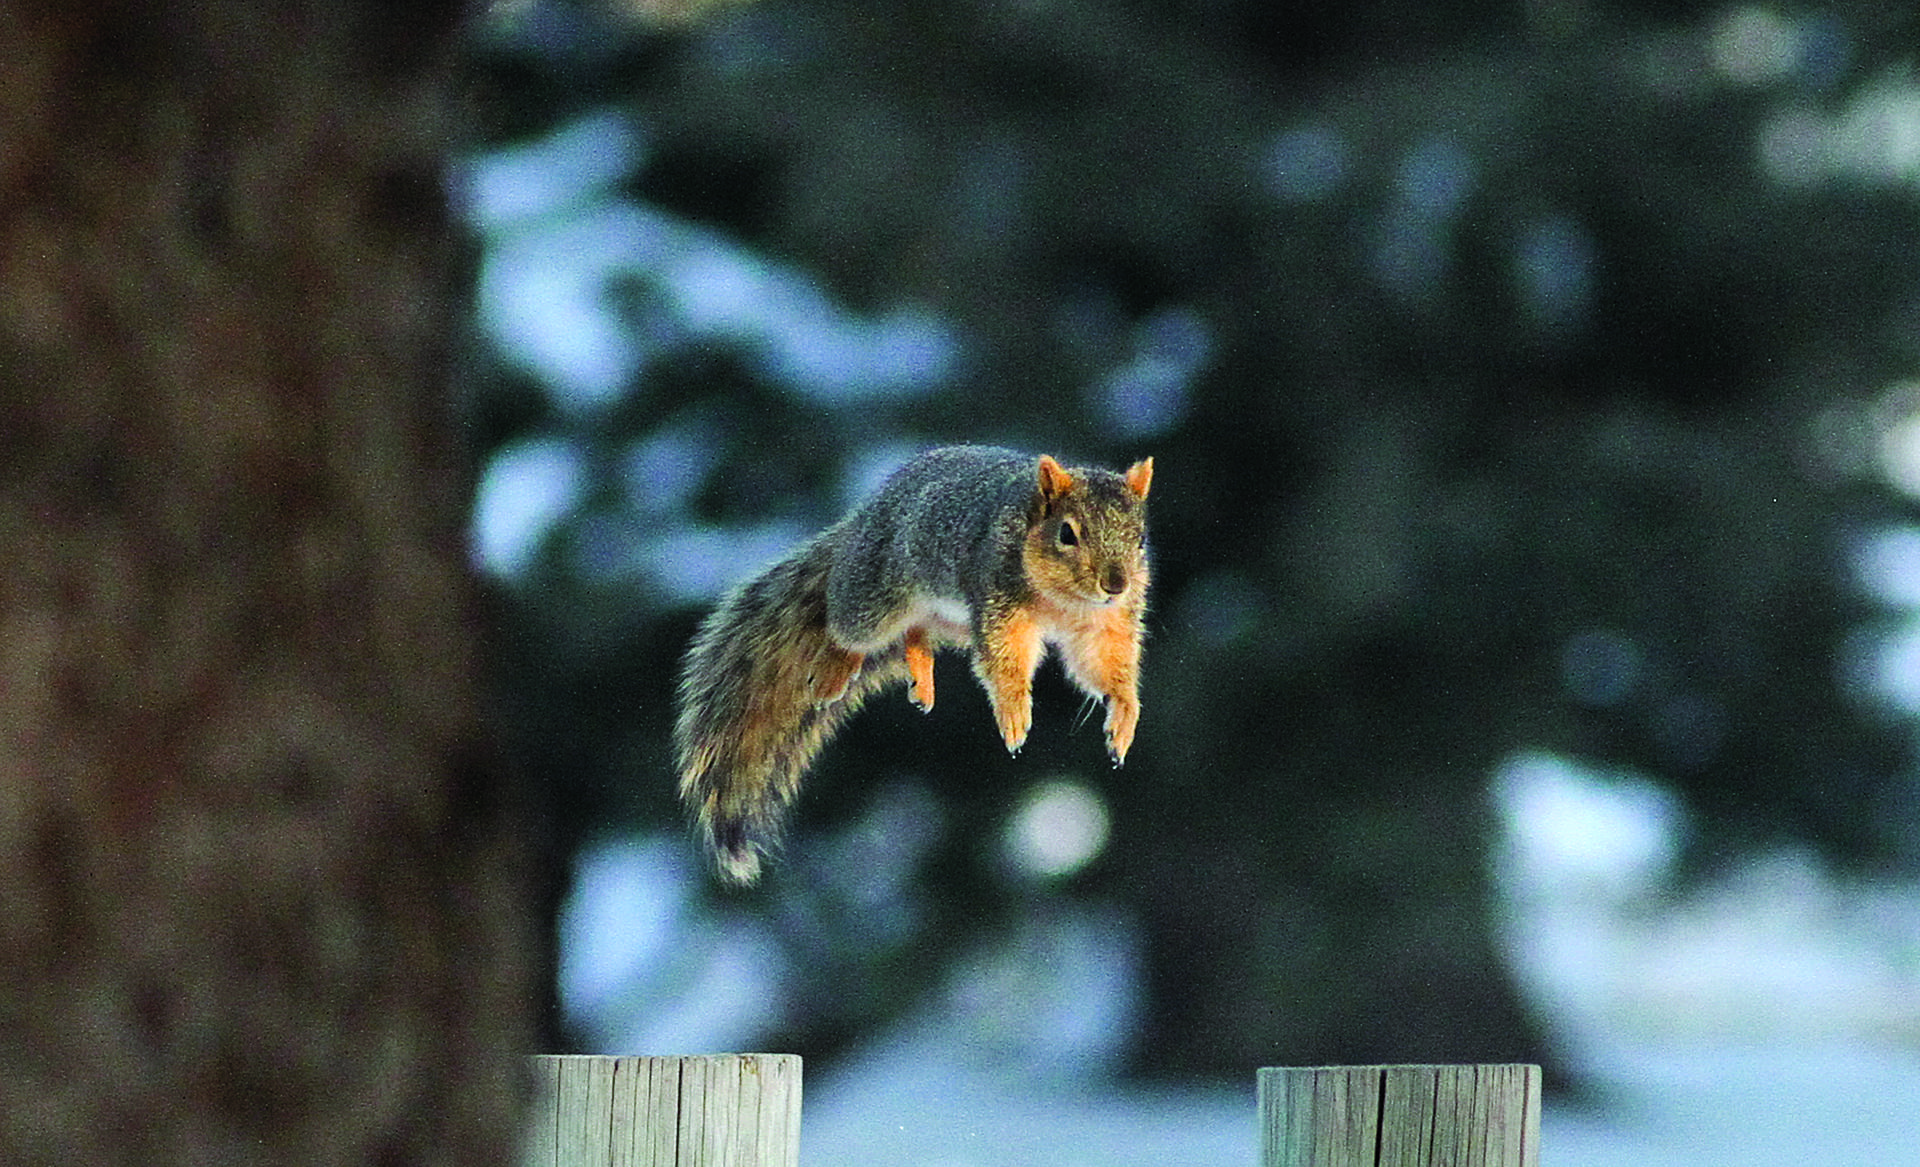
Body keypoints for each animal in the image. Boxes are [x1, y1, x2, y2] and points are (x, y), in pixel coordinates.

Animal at [674, 444, 1154, 884]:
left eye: (1141, 539)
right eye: (1067, 534)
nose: (1116, 585)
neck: (1065, 601)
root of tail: (859, 523)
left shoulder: (1107, 625)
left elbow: (1104, 663)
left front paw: (1124, 713)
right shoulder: (997, 596)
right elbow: (1005, 659)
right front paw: (1015, 709)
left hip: (948, 619)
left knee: (915, 632)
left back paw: (921, 674)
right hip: (875, 596)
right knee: (844, 626)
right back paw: (836, 669)